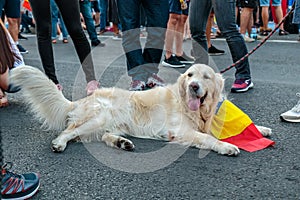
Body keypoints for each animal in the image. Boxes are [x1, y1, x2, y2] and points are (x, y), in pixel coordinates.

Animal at [10, 65, 270, 155]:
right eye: (189, 75)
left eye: (205, 77)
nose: (194, 86)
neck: (196, 110)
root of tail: (83, 99)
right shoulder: (183, 132)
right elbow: (208, 139)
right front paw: (227, 147)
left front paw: (263, 129)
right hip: (99, 116)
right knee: (69, 131)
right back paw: (59, 144)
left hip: (110, 124)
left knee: (101, 136)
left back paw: (122, 143)